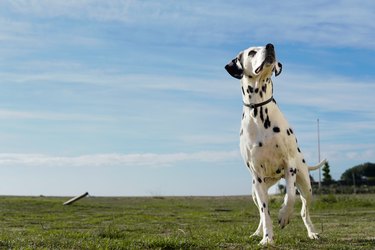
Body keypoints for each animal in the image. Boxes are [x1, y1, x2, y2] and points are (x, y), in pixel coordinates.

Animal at [225, 44, 328, 245]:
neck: (259, 112)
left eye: (266, 46)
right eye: (252, 52)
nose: (270, 46)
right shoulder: (257, 177)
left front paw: (284, 216)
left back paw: (312, 232)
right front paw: (267, 238)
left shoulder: (289, 167)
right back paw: (257, 232)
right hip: (256, 190)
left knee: (304, 211)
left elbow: (290, 197)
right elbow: (265, 213)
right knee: (260, 212)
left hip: (306, 185)